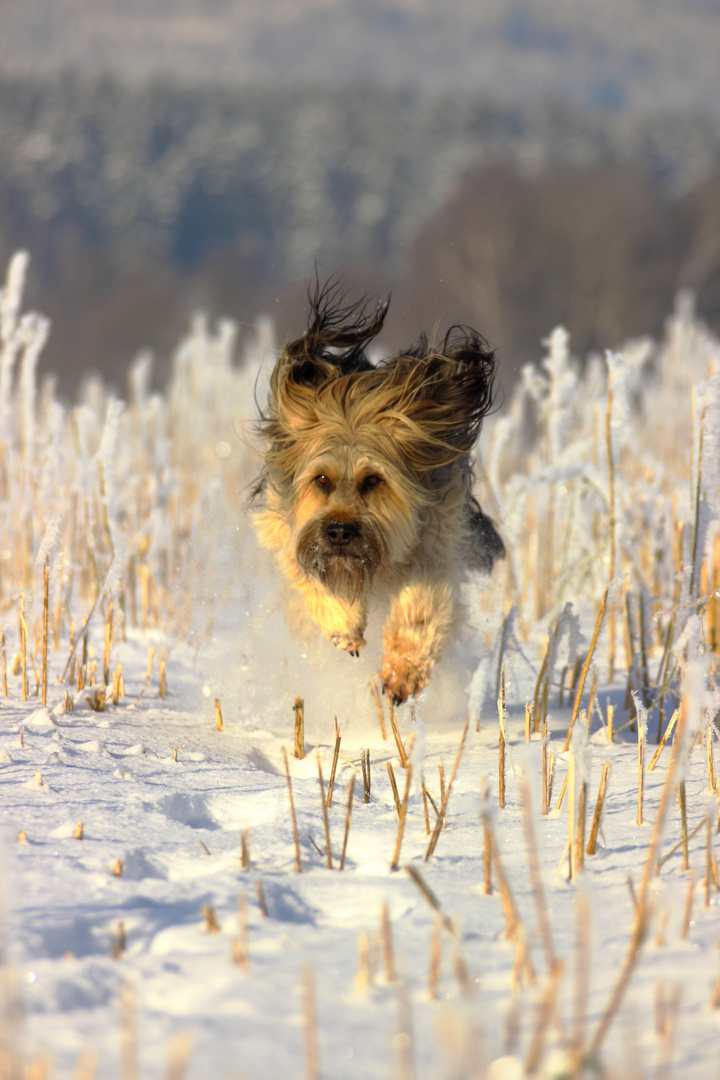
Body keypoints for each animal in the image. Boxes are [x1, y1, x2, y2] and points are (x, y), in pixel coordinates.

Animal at [253, 278, 507, 704]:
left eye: (374, 480)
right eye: (321, 480)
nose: (340, 532)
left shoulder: (435, 543)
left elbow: (422, 608)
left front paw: (402, 673)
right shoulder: (290, 535)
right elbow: (313, 575)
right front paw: (344, 624)